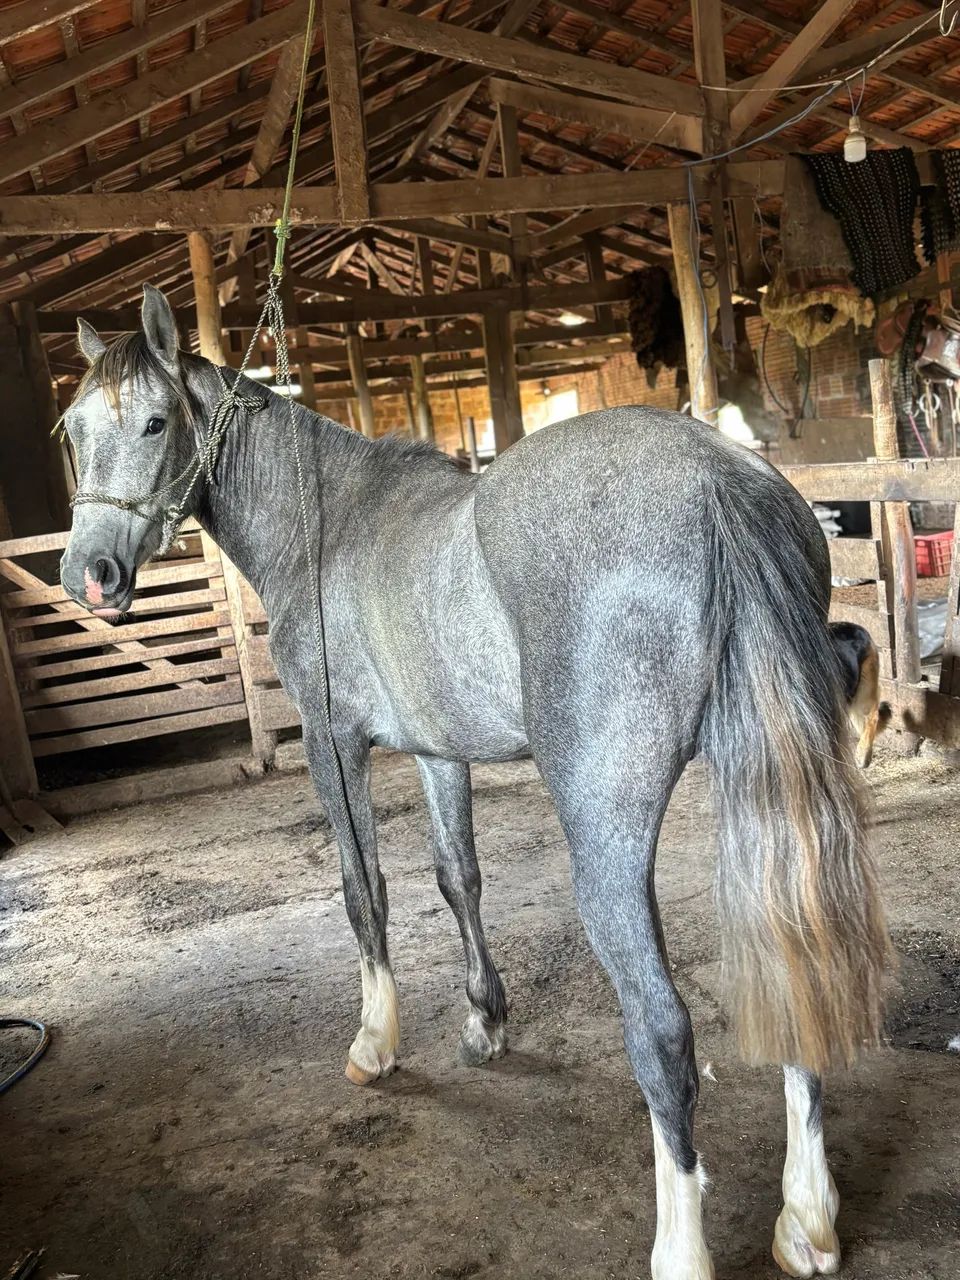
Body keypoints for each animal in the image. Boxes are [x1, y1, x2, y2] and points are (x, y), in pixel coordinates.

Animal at [59, 285, 891, 1280]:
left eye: (154, 422)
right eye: (72, 430)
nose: (90, 575)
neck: (326, 524)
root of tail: (719, 484)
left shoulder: (334, 744)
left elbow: (365, 890)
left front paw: (375, 1042)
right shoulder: (436, 752)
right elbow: (459, 877)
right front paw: (485, 1021)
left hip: (606, 831)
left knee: (661, 1031)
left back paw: (681, 1245)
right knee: (795, 960)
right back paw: (807, 1220)